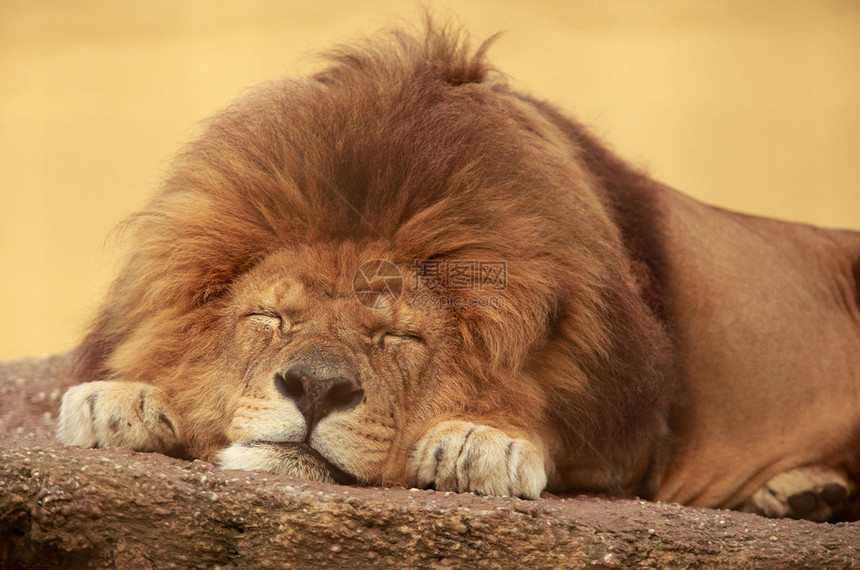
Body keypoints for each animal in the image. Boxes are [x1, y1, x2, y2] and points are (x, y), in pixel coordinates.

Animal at [57, 22, 856, 520]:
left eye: (398, 339)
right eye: (271, 318)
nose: (314, 387)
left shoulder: (636, 429)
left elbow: (549, 423)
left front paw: (483, 442)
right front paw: (118, 401)